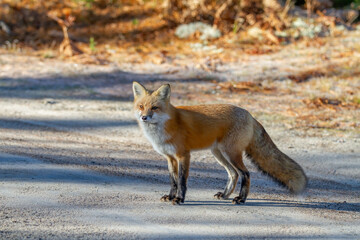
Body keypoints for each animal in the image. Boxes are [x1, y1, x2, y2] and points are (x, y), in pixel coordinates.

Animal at [132, 82, 306, 204]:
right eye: (141, 106)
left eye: (155, 108)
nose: (144, 117)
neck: (167, 126)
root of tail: (249, 114)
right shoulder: (170, 157)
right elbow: (173, 181)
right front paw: (170, 196)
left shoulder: (183, 155)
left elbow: (181, 180)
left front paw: (180, 199)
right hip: (219, 154)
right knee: (233, 174)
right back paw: (225, 195)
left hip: (231, 153)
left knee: (245, 174)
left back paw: (241, 199)